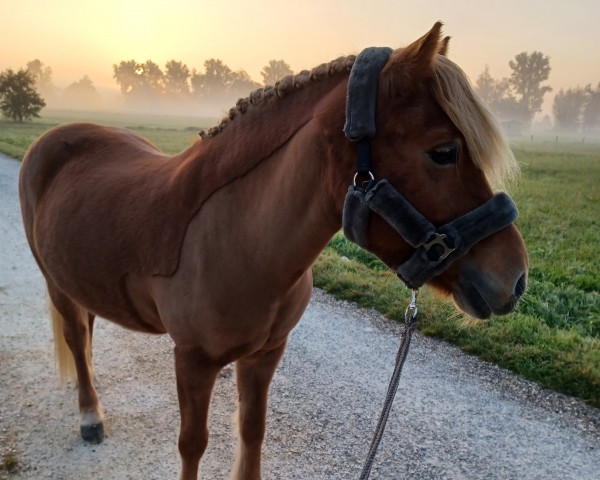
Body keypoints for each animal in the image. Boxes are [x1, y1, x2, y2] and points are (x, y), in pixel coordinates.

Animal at [18, 23, 524, 480]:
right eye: (443, 151)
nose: (515, 279)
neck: (240, 242)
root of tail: (52, 139)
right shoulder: (193, 361)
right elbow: (192, 444)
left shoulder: (265, 355)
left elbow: (252, 431)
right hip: (55, 282)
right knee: (75, 338)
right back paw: (90, 416)